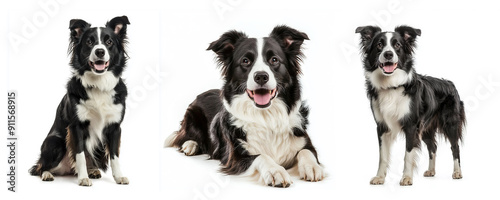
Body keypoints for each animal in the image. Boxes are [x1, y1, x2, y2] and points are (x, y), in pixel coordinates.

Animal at [28, 15, 131, 186]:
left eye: (109, 42)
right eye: (89, 42)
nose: (100, 51)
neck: (98, 85)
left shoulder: (115, 127)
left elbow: (115, 155)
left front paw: (119, 177)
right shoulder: (76, 127)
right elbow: (80, 155)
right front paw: (83, 178)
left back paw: (93, 171)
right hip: (55, 142)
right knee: (39, 167)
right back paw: (47, 174)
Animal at [166, 25, 326, 188]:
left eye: (274, 60)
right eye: (245, 61)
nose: (261, 76)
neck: (266, 116)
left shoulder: (305, 142)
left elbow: (306, 152)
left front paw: (312, 167)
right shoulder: (236, 157)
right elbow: (261, 156)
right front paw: (276, 171)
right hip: (192, 116)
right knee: (182, 136)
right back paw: (190, 145)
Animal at [356, 25, 464, 186]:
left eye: (397, 45)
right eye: (379, 45)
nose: (388, 54)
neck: (391, 85)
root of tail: (450, 83)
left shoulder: (411, 125)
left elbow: (408, 153)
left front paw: (407, 177)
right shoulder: (382, 126)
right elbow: (383, 155)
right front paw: (380, 177)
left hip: (450, 123)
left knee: (455, 147)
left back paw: (457, 172)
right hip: (426, 128)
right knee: (433, 146)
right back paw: (431, 170)